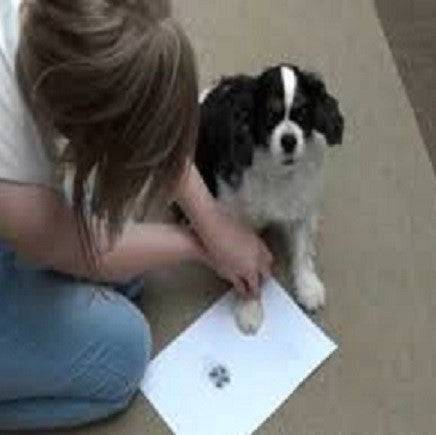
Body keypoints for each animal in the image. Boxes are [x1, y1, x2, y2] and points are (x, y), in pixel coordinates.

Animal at [197, 63, 344, 336]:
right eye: (269, 115)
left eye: (302, 112)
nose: (289, 140)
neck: (278, 171)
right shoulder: (235, 215)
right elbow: (243, 261)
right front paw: (249, 308)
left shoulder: (302, 202)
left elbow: (302, 249)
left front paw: (307, 286)